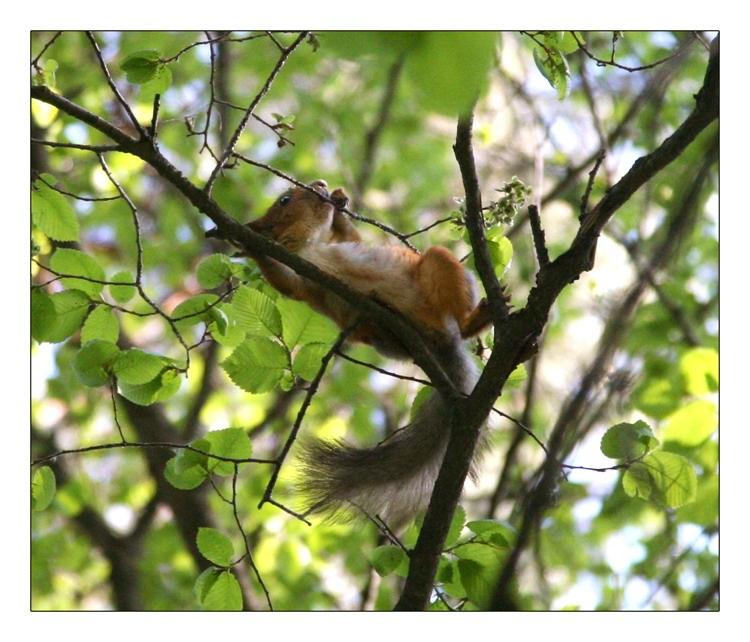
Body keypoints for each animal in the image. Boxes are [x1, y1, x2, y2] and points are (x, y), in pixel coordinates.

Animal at [208, 179, 493, 527]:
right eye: (285, 200)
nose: (320, 184)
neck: (310, 244)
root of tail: (438, 340)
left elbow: (352, 239)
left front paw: (341, 203)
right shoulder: (304, 282)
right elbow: (287, 283)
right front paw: (249, 245)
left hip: (439, 275)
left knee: (457, 320)